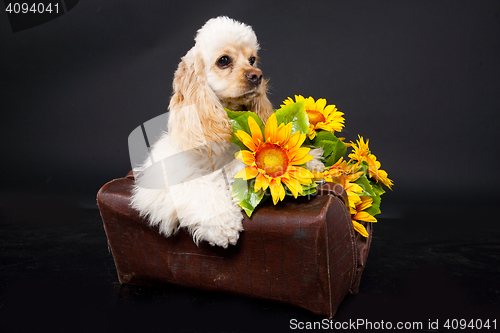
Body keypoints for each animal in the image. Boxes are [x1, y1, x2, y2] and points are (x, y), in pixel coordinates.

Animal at [131, 16, 274, 248]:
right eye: (223, 60)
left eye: (252, 59)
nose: (257, 75)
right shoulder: (169, 175)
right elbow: (199, 187)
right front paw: (223, 225)